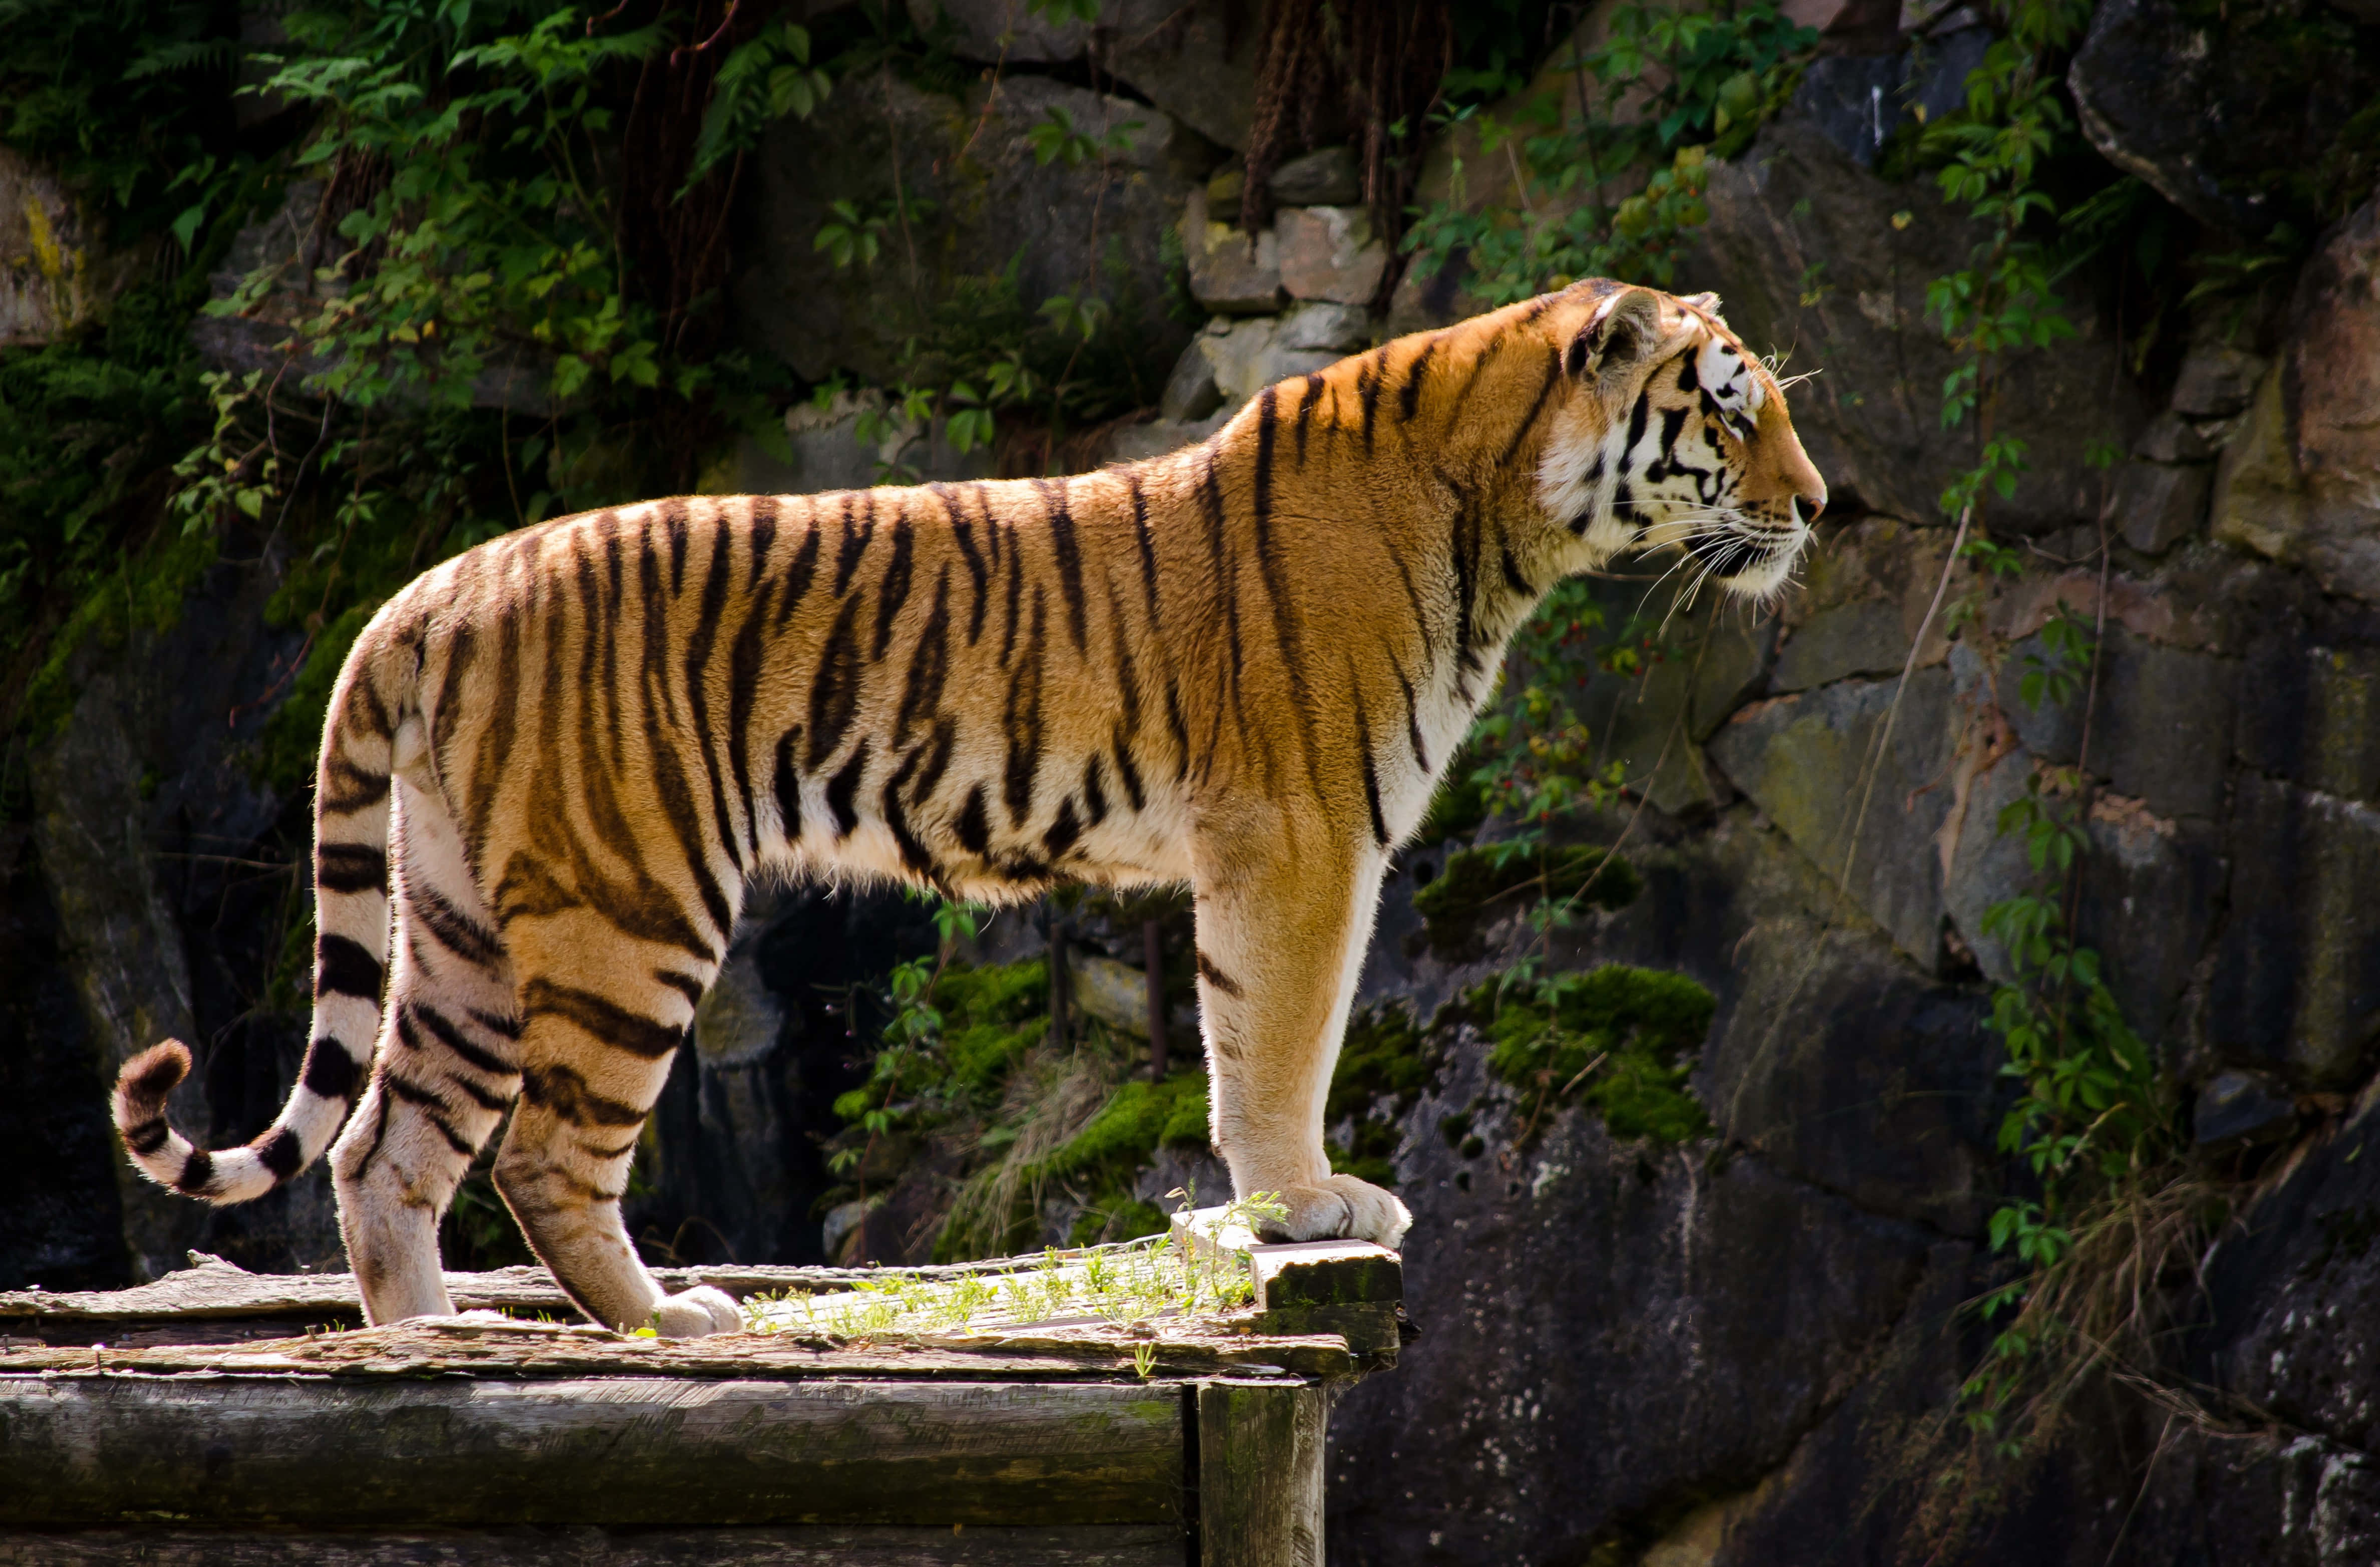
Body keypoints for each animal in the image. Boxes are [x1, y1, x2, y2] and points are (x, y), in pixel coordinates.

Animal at [111, 280, 1825, 1337]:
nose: (1818, 507)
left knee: (382, 1148)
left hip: (462, 919)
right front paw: (1304, 1202)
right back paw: (667, 1319)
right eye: (1730, 412)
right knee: (537, 1153)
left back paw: (427, 1341)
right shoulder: (1303, 837)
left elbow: (1236, 1032)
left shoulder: (1275, 846)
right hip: (629, 905)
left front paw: (1276, 1198)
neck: (1504, 516)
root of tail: (435, 588)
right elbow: (1280, 1037)